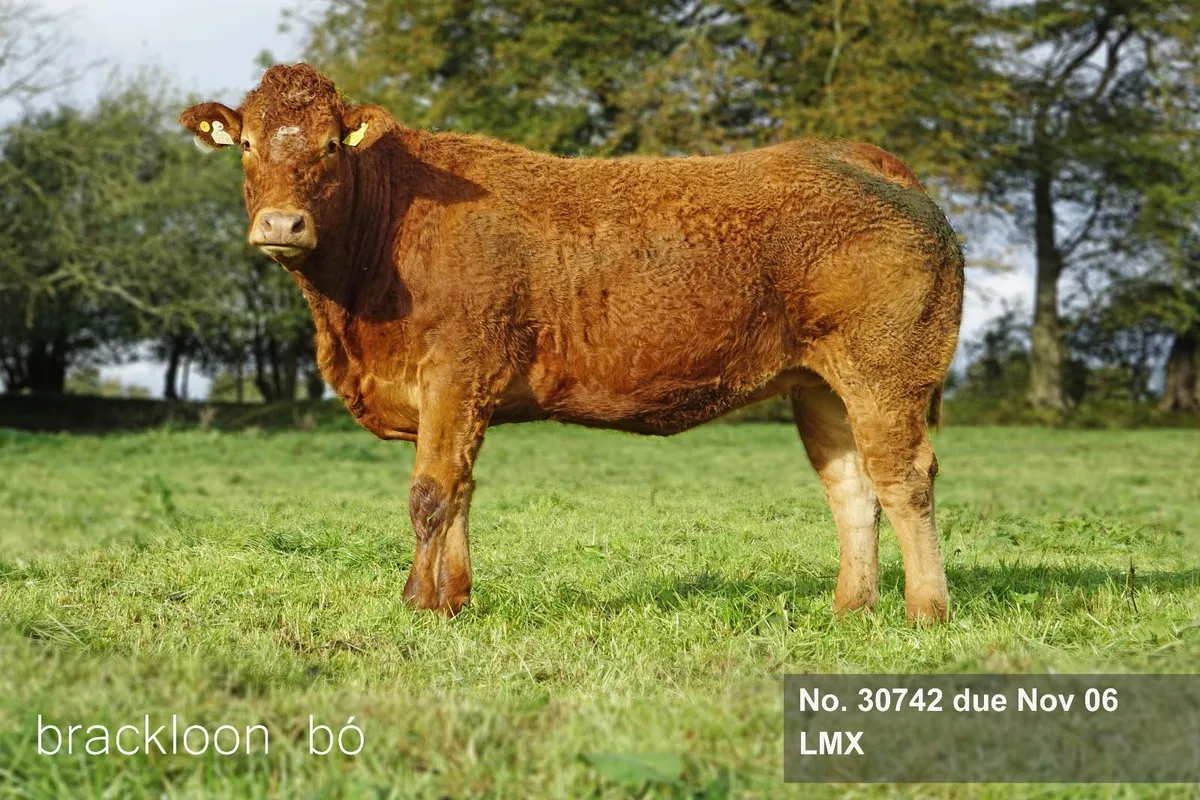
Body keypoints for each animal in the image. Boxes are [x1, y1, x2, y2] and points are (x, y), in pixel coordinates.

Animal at [181, 63, 964, 624]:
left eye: (328, 147)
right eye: (246, 145)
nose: (282, 225)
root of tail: (855, 153)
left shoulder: (456, 372)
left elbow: (431, 493)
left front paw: (414, 601)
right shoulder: (447, 395)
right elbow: (459, 489)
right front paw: (451, 602)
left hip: (886, 372)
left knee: (904, 478)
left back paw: (925, 611)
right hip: (820, 385)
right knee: (852, 487)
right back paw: (851, 608)